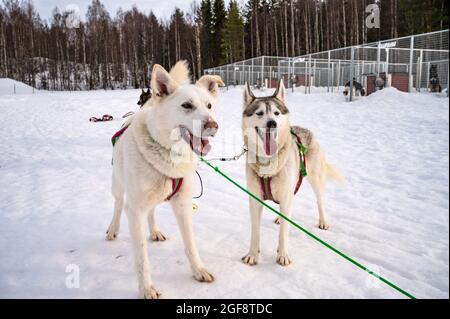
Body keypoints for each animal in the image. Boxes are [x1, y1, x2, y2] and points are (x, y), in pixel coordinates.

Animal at [106, 61, 225, 298]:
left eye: (209, 105)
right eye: (187, 105)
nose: (213, 126)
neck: (169, 156)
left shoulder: (183, 205)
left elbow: (190, 244)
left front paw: (198, 270)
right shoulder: (135, 211)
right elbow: (142, 258)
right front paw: (146, 288)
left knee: (151, 212)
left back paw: (155, 231)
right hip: (118, 186)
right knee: (118, 205)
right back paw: (113, 229)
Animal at [243, 80, 342, 268]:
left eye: (276, 113)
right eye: (259, 113)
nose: (272, 123)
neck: (268, 162)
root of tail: (304, 129)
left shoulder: (285, 194)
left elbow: (283, 233)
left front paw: (283, 255)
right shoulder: (254, 199)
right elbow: (254, 232)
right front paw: (252, 254)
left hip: (315, 180)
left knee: (319, 201)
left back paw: (323, 221)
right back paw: (279, 218)